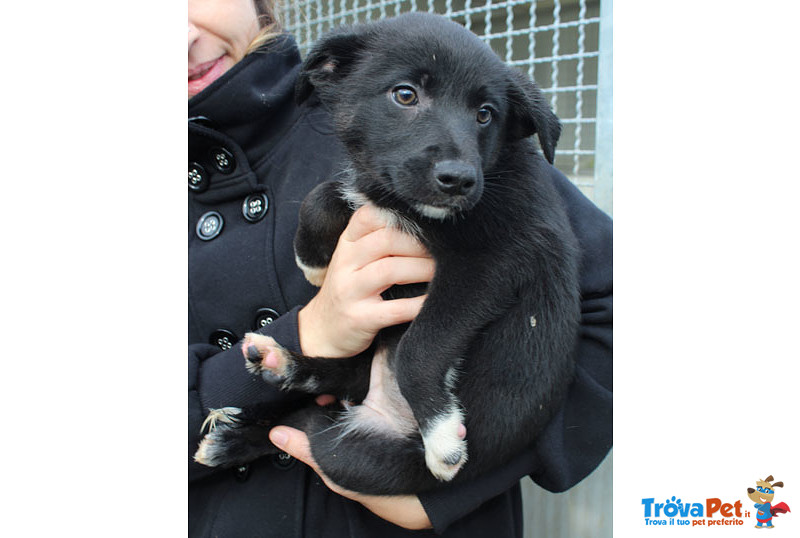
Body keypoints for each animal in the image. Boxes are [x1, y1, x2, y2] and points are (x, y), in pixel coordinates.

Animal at [196, 12, 580, 492]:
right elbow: (322, 194)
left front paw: (442, 436)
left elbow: (419, 346)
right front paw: (313, 261)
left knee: (313, 415)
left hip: (351, 456)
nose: (459, 180)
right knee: (334, 379)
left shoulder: (488, 263)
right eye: (405, 94)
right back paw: (273, 373)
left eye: (485, 114)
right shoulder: (377, 190)